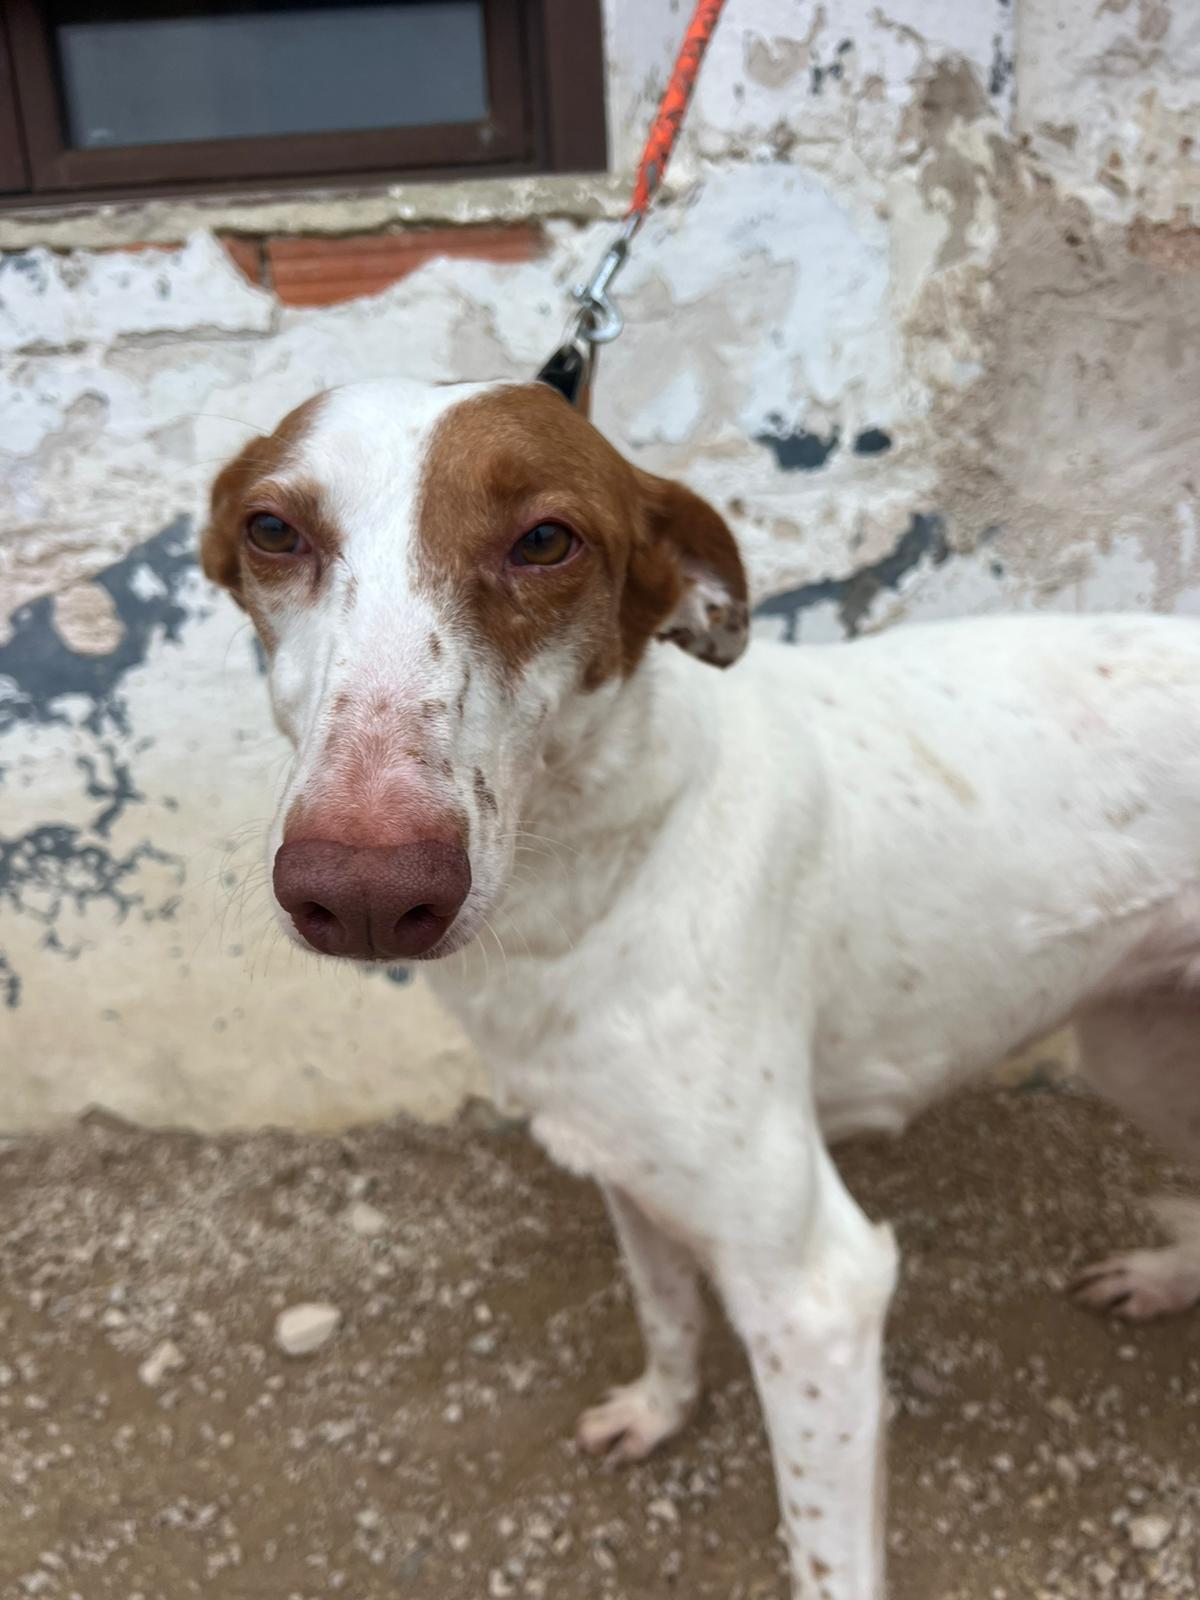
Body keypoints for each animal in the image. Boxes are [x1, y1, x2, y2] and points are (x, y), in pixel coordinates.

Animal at [203, 377, 1200, 1599]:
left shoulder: (818, 1293)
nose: (367, 893)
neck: (606, 864)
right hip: (1142, 1047)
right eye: (273, 530)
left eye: (547, 540)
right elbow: (667, 1311)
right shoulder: (624, 1166)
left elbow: (826, 1551)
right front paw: (660, 1411)